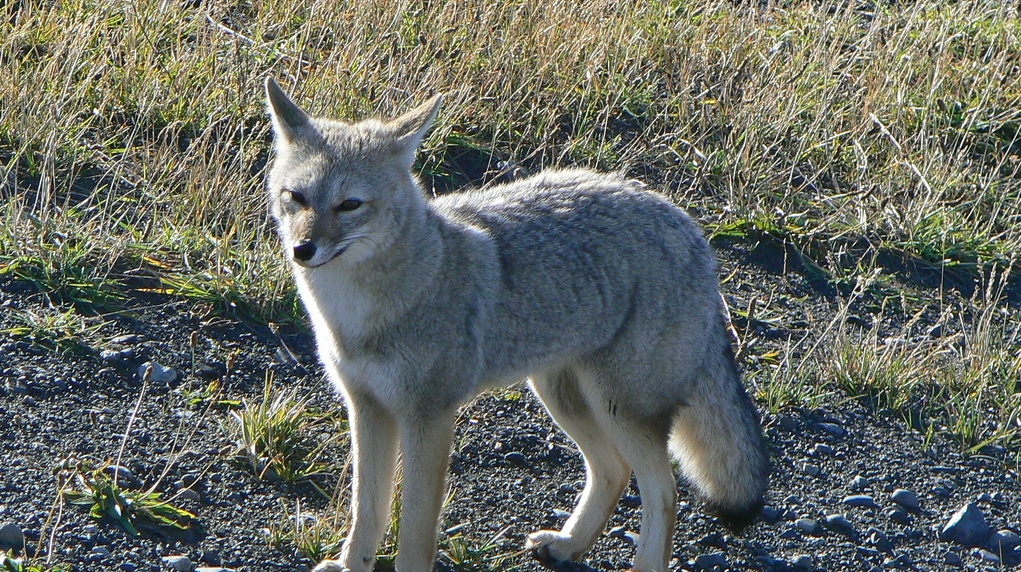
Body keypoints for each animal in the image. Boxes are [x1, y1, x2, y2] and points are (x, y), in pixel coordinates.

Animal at [263, 77, 767, 572]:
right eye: (297, 197)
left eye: (349, 205)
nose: (303, 250)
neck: (358, 314)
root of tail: (687, 225)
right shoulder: (366, 406)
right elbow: (367, 507)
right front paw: (353, 564)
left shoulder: (429, 416)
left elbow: (415, 530)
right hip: (562, 396)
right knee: (614, 471)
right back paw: (568, 544)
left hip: (618, 407)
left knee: (664, 492)